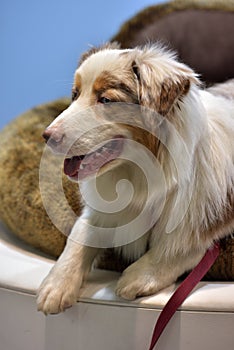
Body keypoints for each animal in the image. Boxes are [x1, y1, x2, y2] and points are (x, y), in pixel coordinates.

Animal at [36, 43, 234, 314]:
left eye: (106, 100)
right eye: (74, 95)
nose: (47, 136)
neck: (136, 173)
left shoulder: (208, 215)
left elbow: (179, 245)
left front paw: (137, 278)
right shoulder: (100, 211)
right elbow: (79, 236)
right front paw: (55, 286)